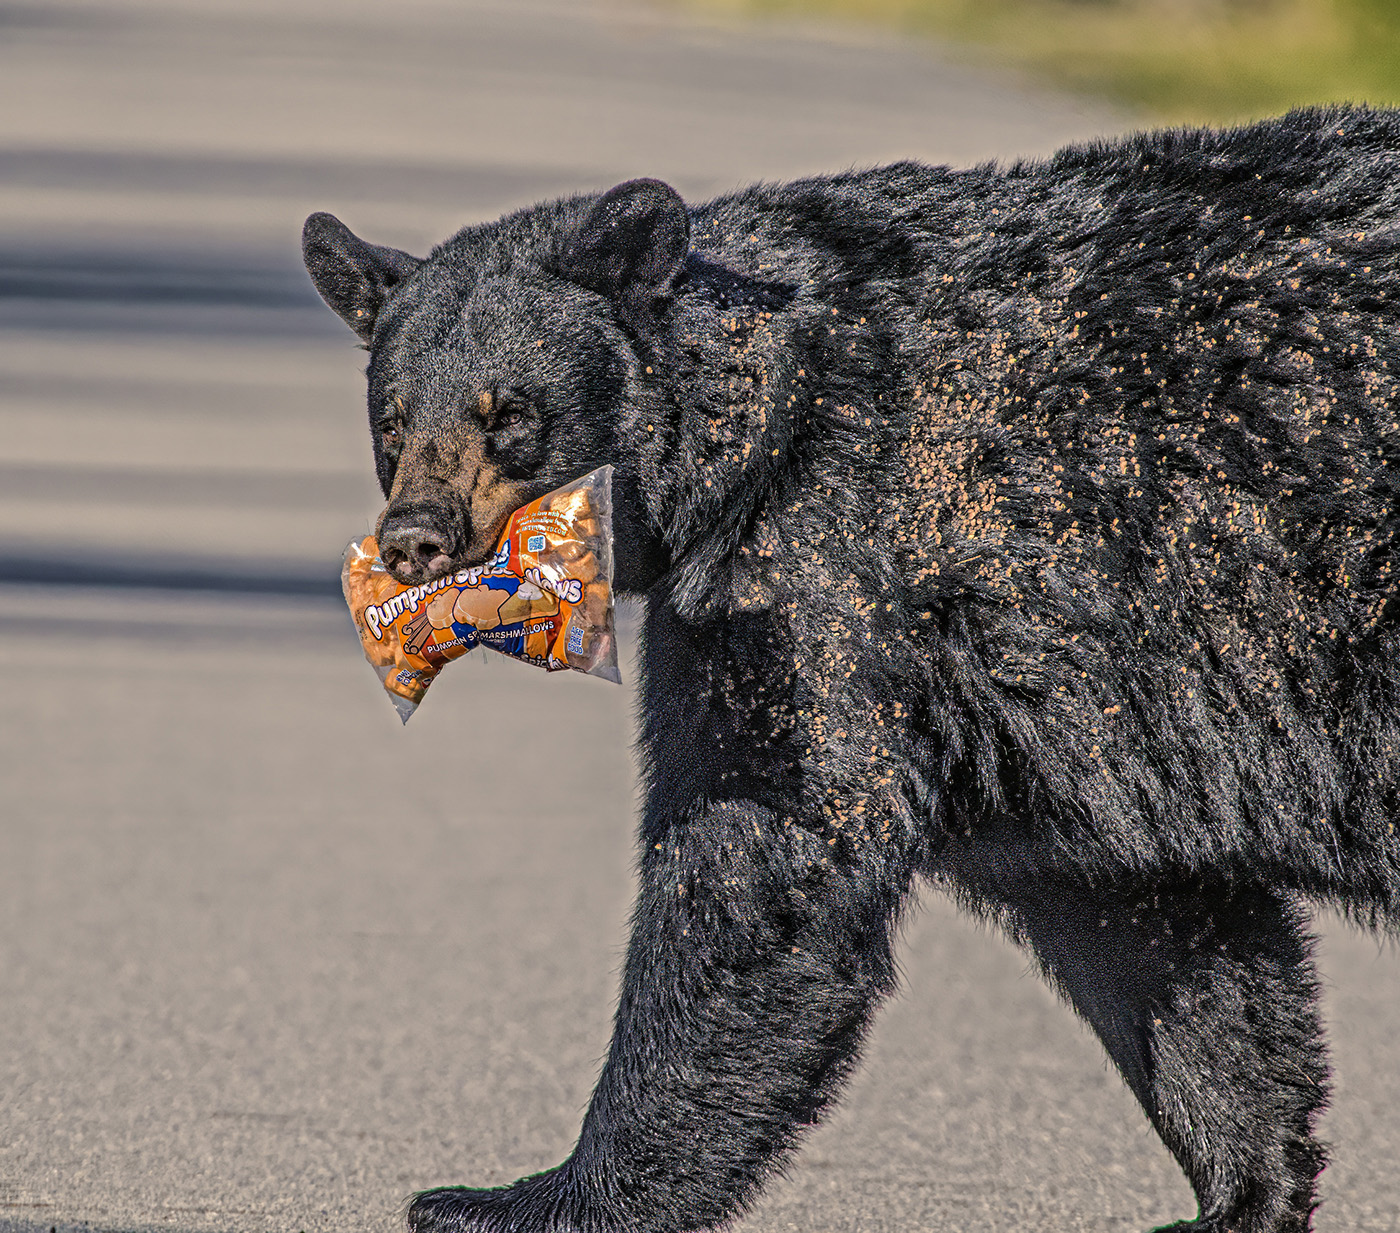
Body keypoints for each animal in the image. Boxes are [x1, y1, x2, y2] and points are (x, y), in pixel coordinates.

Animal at [302, 104, 1400, 1233]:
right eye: (391, 420)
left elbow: (762, 851)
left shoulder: (831, 566)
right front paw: (1244, 1190)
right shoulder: (1062, 703)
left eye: (510, 413)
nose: (416, 539)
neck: (754, 435)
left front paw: (534, 1196)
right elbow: (1153, 923)